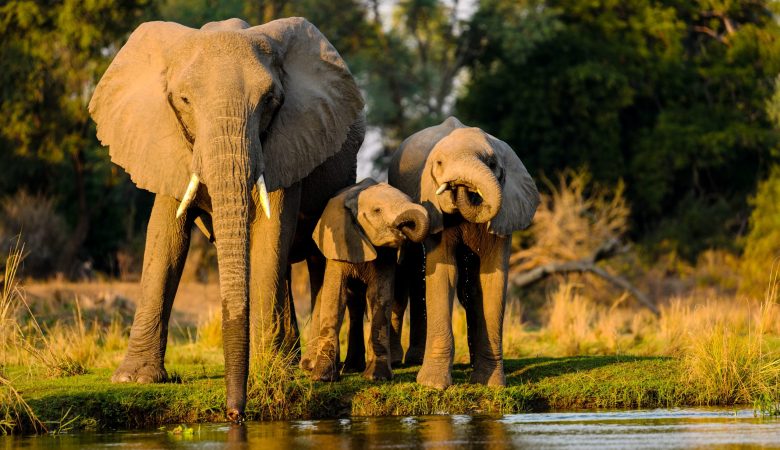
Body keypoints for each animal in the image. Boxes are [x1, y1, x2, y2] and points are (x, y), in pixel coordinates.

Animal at [88, 17, 364, 421]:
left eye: (270, 101)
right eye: (184, 100)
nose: (235, 414)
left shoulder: (288, 141)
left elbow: (270, 233)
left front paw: (268, 370)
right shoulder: (165, 143)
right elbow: (165, 239)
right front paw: (133, 380)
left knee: (316, 258)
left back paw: (313, 367)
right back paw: (291, 359)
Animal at [307, 179, 429, 382]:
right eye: (377, 210)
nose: (405, 228)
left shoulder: (386, 254)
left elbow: (379, 296)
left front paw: (376, 377)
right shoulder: (339, 243)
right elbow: (335, 297)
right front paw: (322, 377)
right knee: (354, 303)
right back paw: (350, 368)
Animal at [387, 117, 539, 389]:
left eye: (491, 163)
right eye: (439, 164)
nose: (460, 185)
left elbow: (492, 280)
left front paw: (491, 383)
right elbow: (443, 272)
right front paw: (433, 385)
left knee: (468, 289)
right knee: (411, 272)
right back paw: (406, 360)